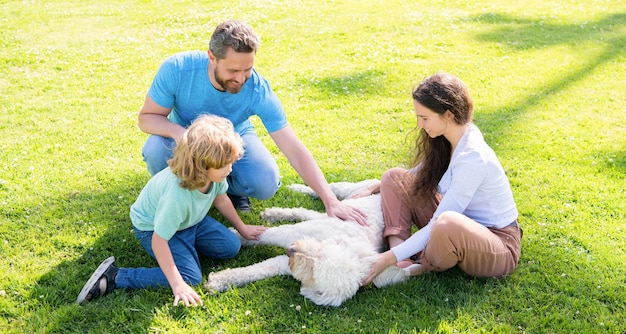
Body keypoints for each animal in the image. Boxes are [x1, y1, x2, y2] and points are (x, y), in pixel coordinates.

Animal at [205, 180, 410, 306]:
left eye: (313, 272)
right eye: (322, 252)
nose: (291, 249)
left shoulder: (287, 263)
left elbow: (259, 270)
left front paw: (220, 280)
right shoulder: (290, 233)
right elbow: (261, 235)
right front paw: (237, 235)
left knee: (305, 211)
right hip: (353, 190)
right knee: (328, 189)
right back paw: (296, 189)